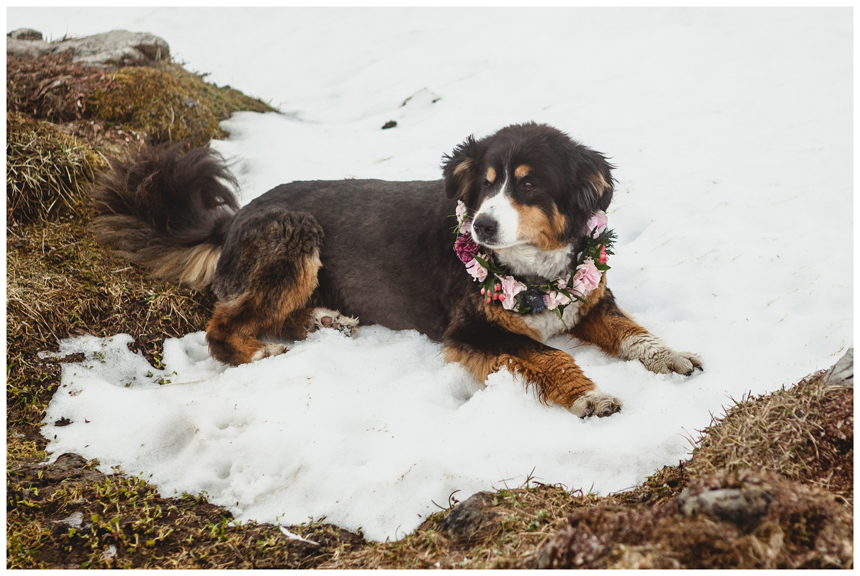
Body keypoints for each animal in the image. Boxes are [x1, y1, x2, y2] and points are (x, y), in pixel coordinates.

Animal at [90, 122, 704, 418]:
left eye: (529, 185)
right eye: (485, 183)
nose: (481, 227)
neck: (535, 272)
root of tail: (233, 219)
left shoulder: (589, 299)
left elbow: (634, 333)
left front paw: (672, 355)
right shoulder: (473, 329)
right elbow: (549, 356)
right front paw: (590, 398)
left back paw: (324, 322)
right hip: (295, 232)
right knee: (221, 328)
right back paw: (265, 354)